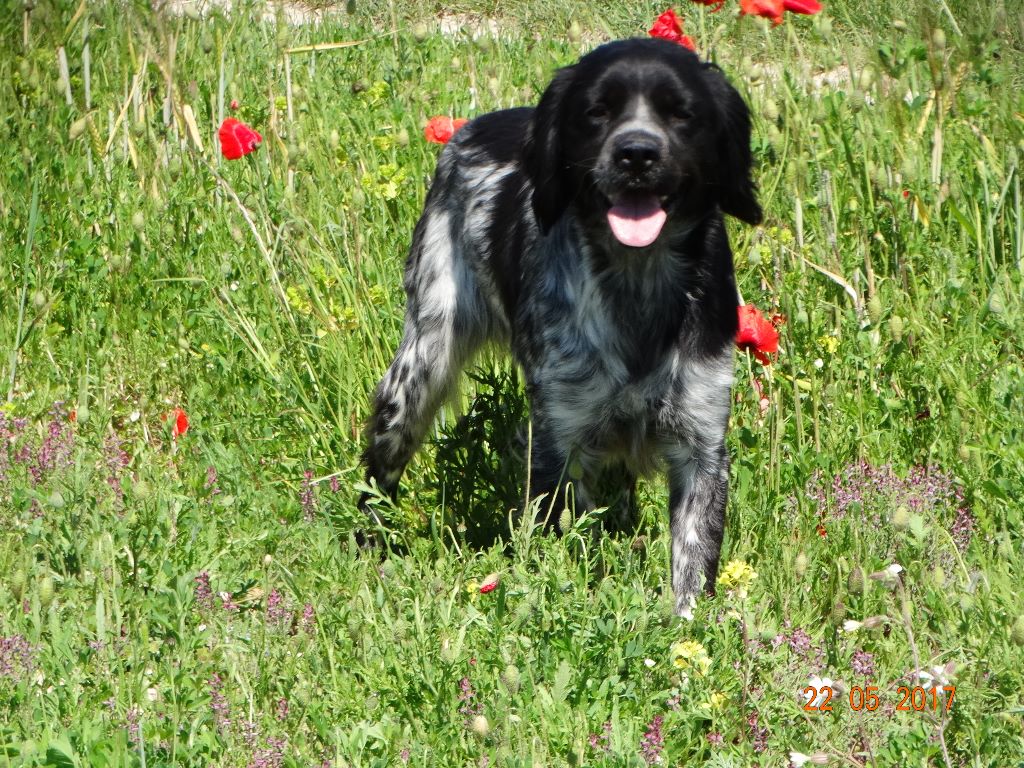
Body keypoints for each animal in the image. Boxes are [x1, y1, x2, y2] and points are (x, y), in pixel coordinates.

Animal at [360, 37, 761, 618]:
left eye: (681, 113)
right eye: (597, 112)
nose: (636, 153)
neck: (636, 284)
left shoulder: (701, 443)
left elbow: (692, 568)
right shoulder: (559, 437)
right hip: (419, 369)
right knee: (381, 471)